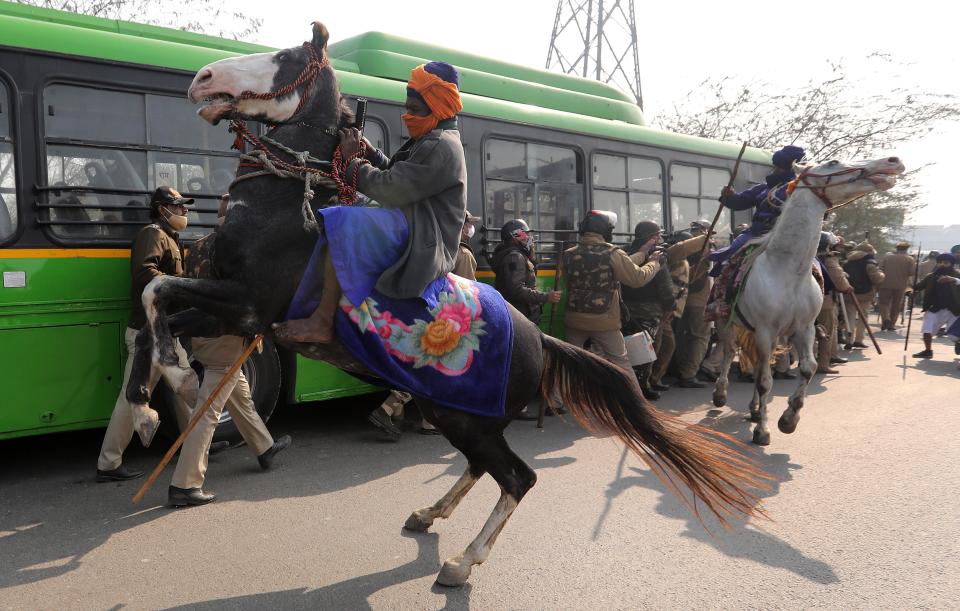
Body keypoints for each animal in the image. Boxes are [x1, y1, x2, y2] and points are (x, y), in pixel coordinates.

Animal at [129, 22, 772, 588]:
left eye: (285, 58)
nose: (203, 78)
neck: (286, 204)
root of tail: (540, 338)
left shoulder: (252, 306)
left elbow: (157, 293)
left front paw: (172, 387)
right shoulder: (234, 309)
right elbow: (155, 308)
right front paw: (156, 398)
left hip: (469, 416)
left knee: (518, 477)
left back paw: (463, 563)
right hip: (453, 410)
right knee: (485, 467)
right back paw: (429, 515)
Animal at [712, 157, 908, 444]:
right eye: (833, 162)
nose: (893, 162)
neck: (788, 270)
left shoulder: (803, 328)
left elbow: (808, 368)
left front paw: (787, 420)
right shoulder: (765, 330)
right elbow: (765, 380)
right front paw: (763, 431)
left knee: (759, 364)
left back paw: (755, 409)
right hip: (727, 321)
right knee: (728, 354)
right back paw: (720, 395)